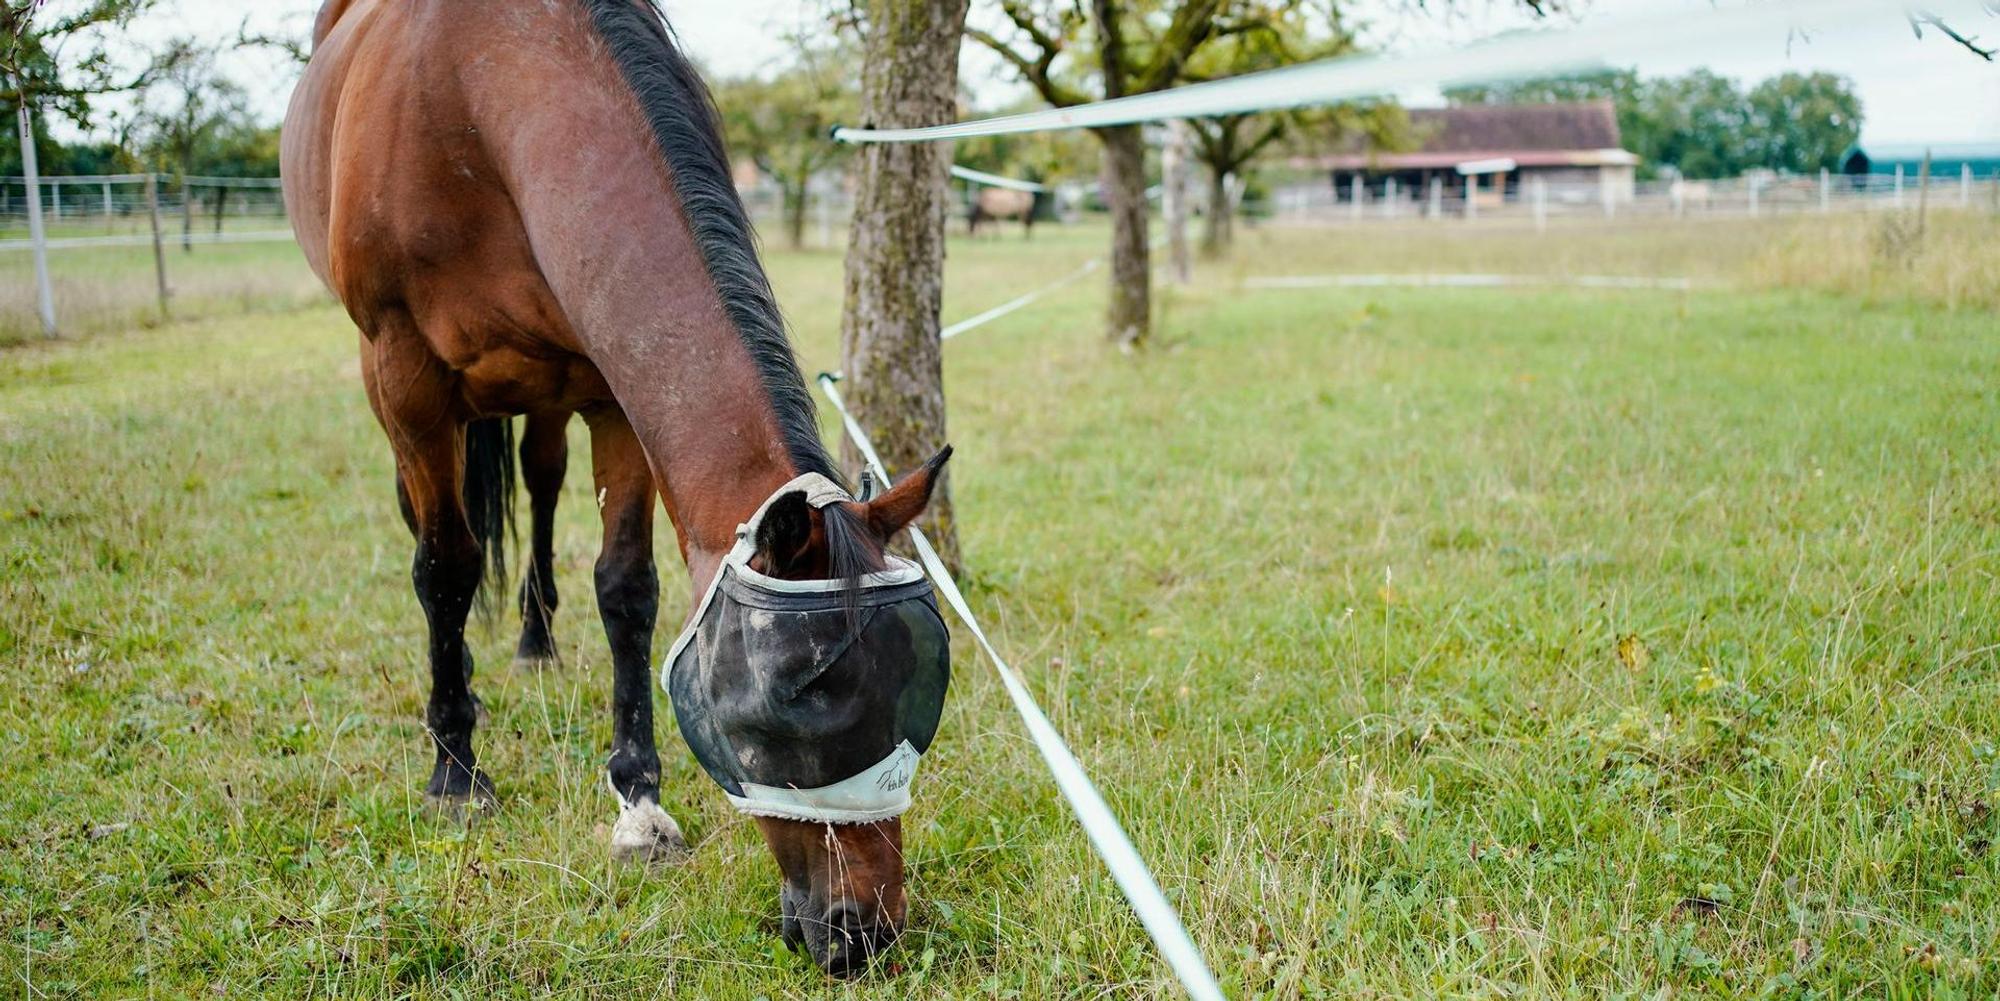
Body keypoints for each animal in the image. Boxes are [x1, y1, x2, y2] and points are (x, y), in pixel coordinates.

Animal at [282, 0, 951, 975]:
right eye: (781, 715)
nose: (864, 931)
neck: (472, 89)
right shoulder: (403, 371)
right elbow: (445, 567)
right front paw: (455, 769)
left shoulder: (608, 388)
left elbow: (626, 587)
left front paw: (637, 797)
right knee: (436, 530)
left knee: (539, 483)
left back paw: (532, 638)